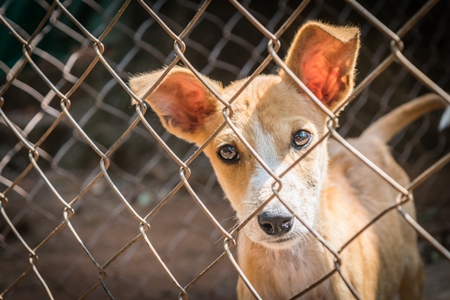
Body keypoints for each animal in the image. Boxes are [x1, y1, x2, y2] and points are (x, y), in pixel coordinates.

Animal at [128, 20, 444, 298]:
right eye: (227, 152)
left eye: (301, 137)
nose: (276, 221)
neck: (291, 264)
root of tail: (369, 138)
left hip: (413, 269)